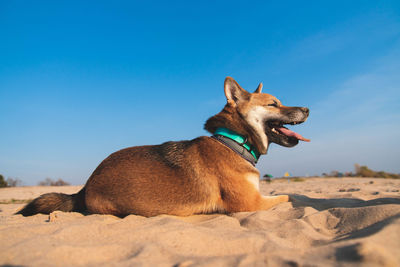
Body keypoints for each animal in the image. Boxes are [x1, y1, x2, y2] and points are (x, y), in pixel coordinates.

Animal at [18, 77, 310, 218]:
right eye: (273, 104)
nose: (307, 109)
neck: (234, 141)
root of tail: (86, 185)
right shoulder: (250, 203)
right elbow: (292, 196)